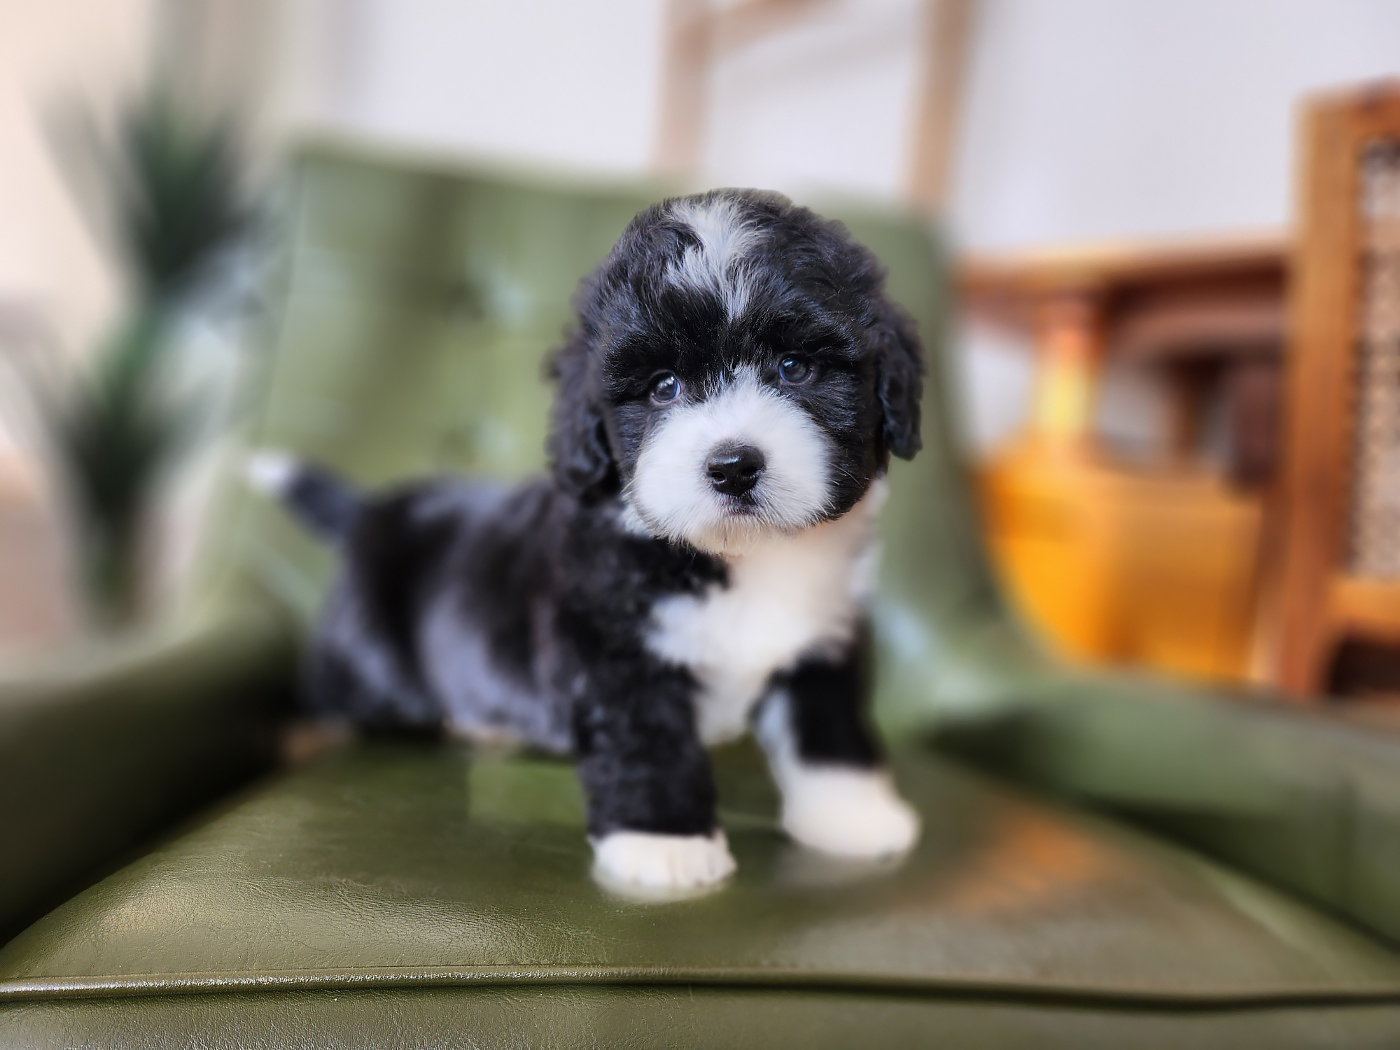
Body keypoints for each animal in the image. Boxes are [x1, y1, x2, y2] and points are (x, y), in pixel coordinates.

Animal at [249, 188, 925, 891]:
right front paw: (664, 841)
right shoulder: (610, 644)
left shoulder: (823, 638)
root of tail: (373, 510)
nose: (734, 465)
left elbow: (828, 731)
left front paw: (853, 818)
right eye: (663, 387)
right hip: (364, 656)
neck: (742, 556)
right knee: (326, 699)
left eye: (795, 368)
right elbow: (644, 737)